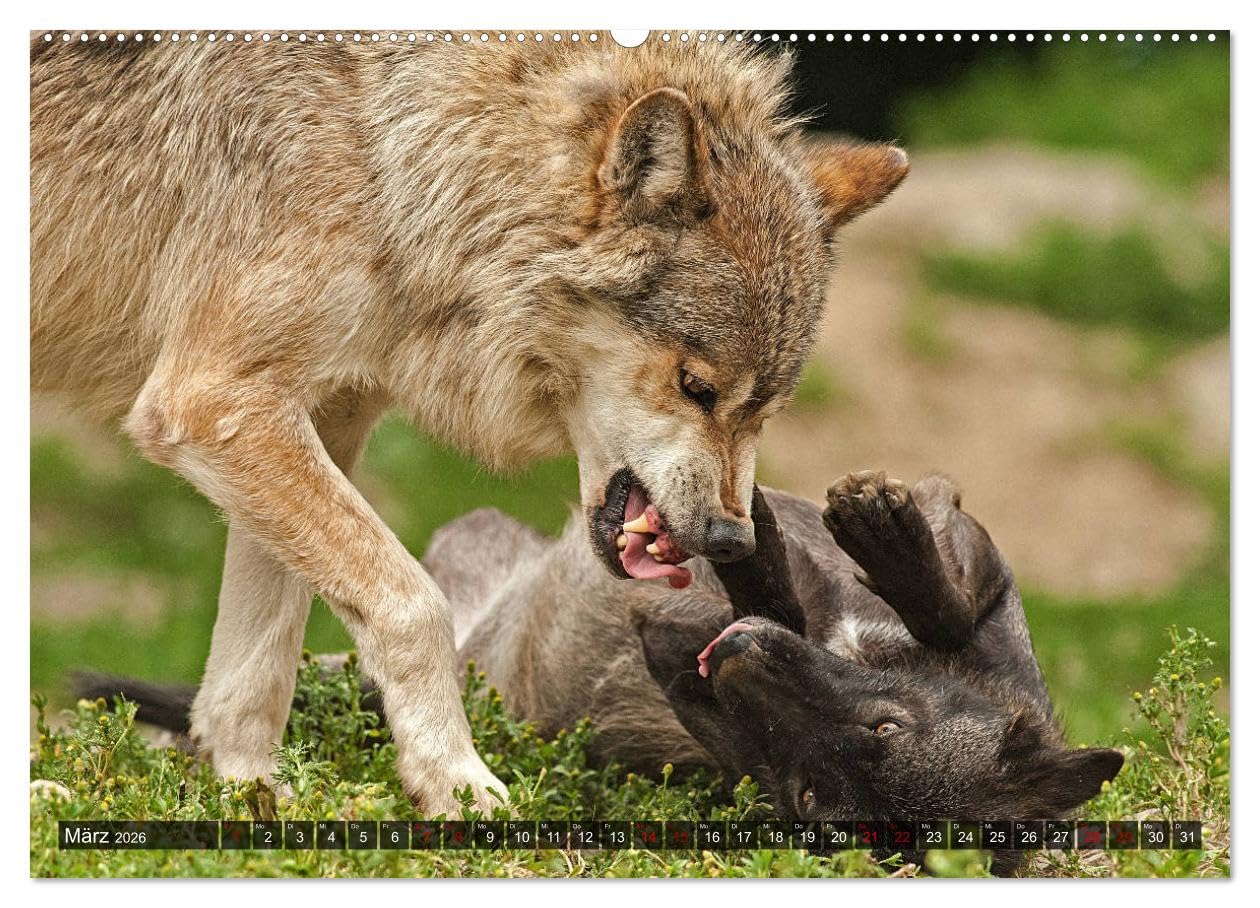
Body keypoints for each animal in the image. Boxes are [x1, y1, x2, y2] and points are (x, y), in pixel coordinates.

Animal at [31, 33, 908, 813]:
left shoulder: (314, 416)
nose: (731, 540)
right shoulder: (212, 402)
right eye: (696, 387)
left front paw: (250, 795)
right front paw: (454, 781)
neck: (392, 155)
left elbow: (261, 659)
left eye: (766, 410)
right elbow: (414, 607)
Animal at [86, 471, 1122, 874]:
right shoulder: (964, 569)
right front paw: (867, 538)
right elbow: (934, 592)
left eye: (812, 798)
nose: (727, 654)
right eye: (885, 727)